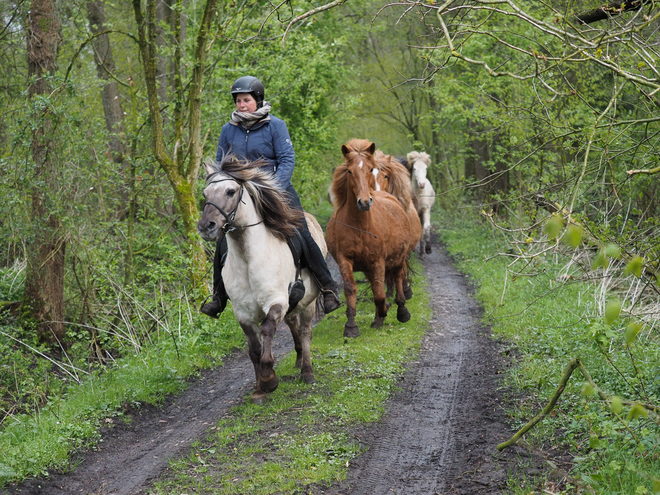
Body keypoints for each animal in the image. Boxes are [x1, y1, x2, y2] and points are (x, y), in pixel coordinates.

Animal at [196, 157, 324, 404]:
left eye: (230, 191)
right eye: (205, 194)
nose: (206, 226)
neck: (249, 259)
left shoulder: (276, 301)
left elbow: (267, 331)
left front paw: (269, 379)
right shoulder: (243, 313)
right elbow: (254, 349)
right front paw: (259, 390)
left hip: (309, 302)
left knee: (305, 331)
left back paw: (307, 372)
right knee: (293, 325)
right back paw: (298, 360)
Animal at [326, 141, 412, 340]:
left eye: (370, 168)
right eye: (349, 171)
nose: (364, 202)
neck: (360, 226)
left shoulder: (378, 261)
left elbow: (380, 293)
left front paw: (382, 313)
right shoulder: (344, 260)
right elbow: (351, 288)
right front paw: (351, 327)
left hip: (398, 258)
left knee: (398, 277)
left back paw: (402, 310)